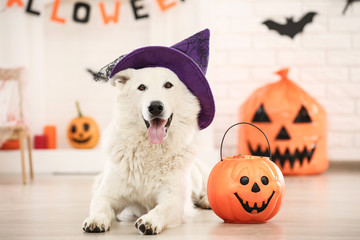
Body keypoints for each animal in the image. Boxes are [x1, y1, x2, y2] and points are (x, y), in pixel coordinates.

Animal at [81, 66, 211, 234]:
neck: (151, 149)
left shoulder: (174, 198)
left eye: (168, 85)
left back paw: (207, 201)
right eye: (141, 87)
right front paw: (96, 220)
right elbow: (101, 207)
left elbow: (161, 209)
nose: (155, 107)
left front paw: (150, 220)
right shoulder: (106, 194)